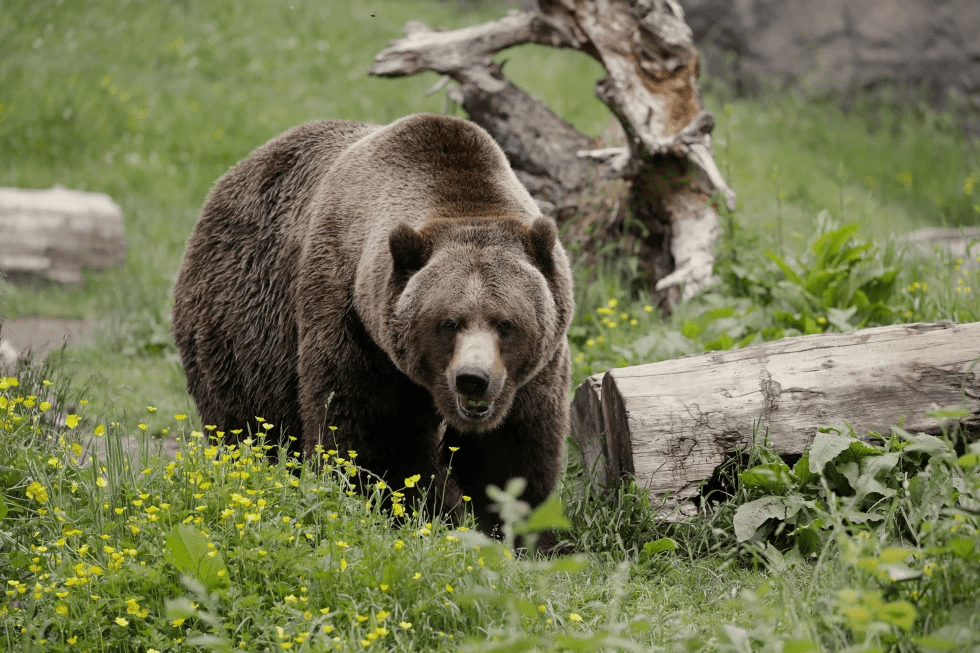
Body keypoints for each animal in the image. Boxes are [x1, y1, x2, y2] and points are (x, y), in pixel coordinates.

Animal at [172, 113, 574, 536]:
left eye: (506, 323)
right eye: (448, 322)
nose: (472, 379)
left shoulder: (534, 371)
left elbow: (512, 454)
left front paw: (516, 528)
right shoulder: (353, 323)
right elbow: (371, 437)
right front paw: (400, 511)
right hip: (243, 329)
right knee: (247, 425)